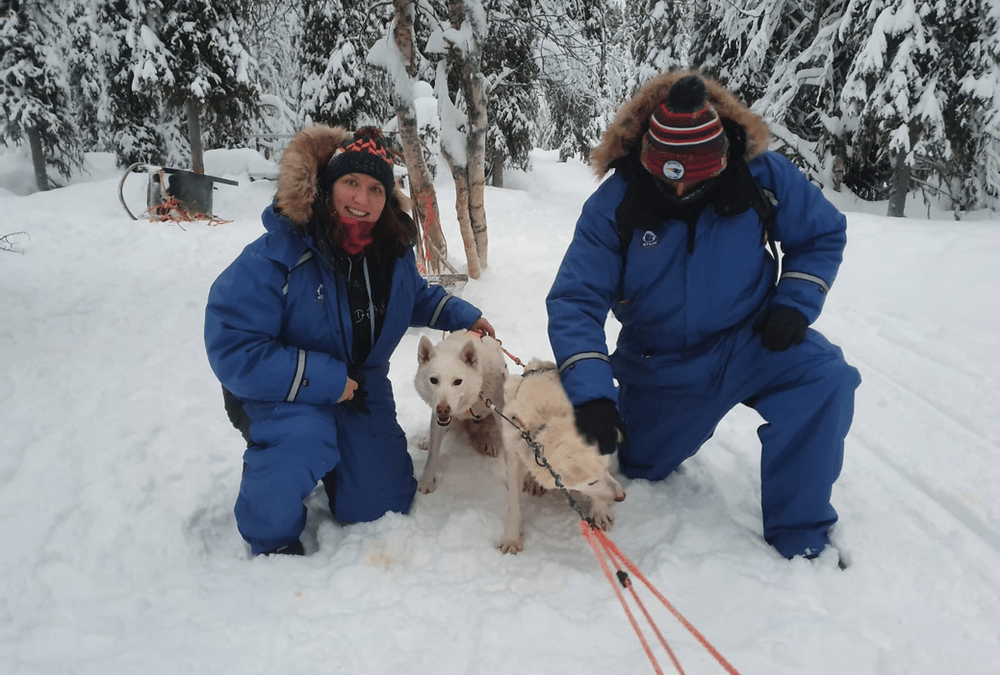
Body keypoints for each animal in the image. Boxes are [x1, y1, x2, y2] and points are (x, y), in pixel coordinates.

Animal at [414, 332, 508, 496]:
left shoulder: (499, 410)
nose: (443, 409)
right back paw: (427, 440)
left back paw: (487, 442)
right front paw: (426, 481)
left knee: (483, 431)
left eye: (458, 381)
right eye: (433, 380)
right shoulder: (438, 418)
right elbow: (432, 453)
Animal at [498, 360, 624, 556]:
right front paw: (511, 537)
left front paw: (599, 510)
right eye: (592, 482)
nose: (621, 496)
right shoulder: (513, 453)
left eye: (605, 472)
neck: (546, 418)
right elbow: (514, 503)